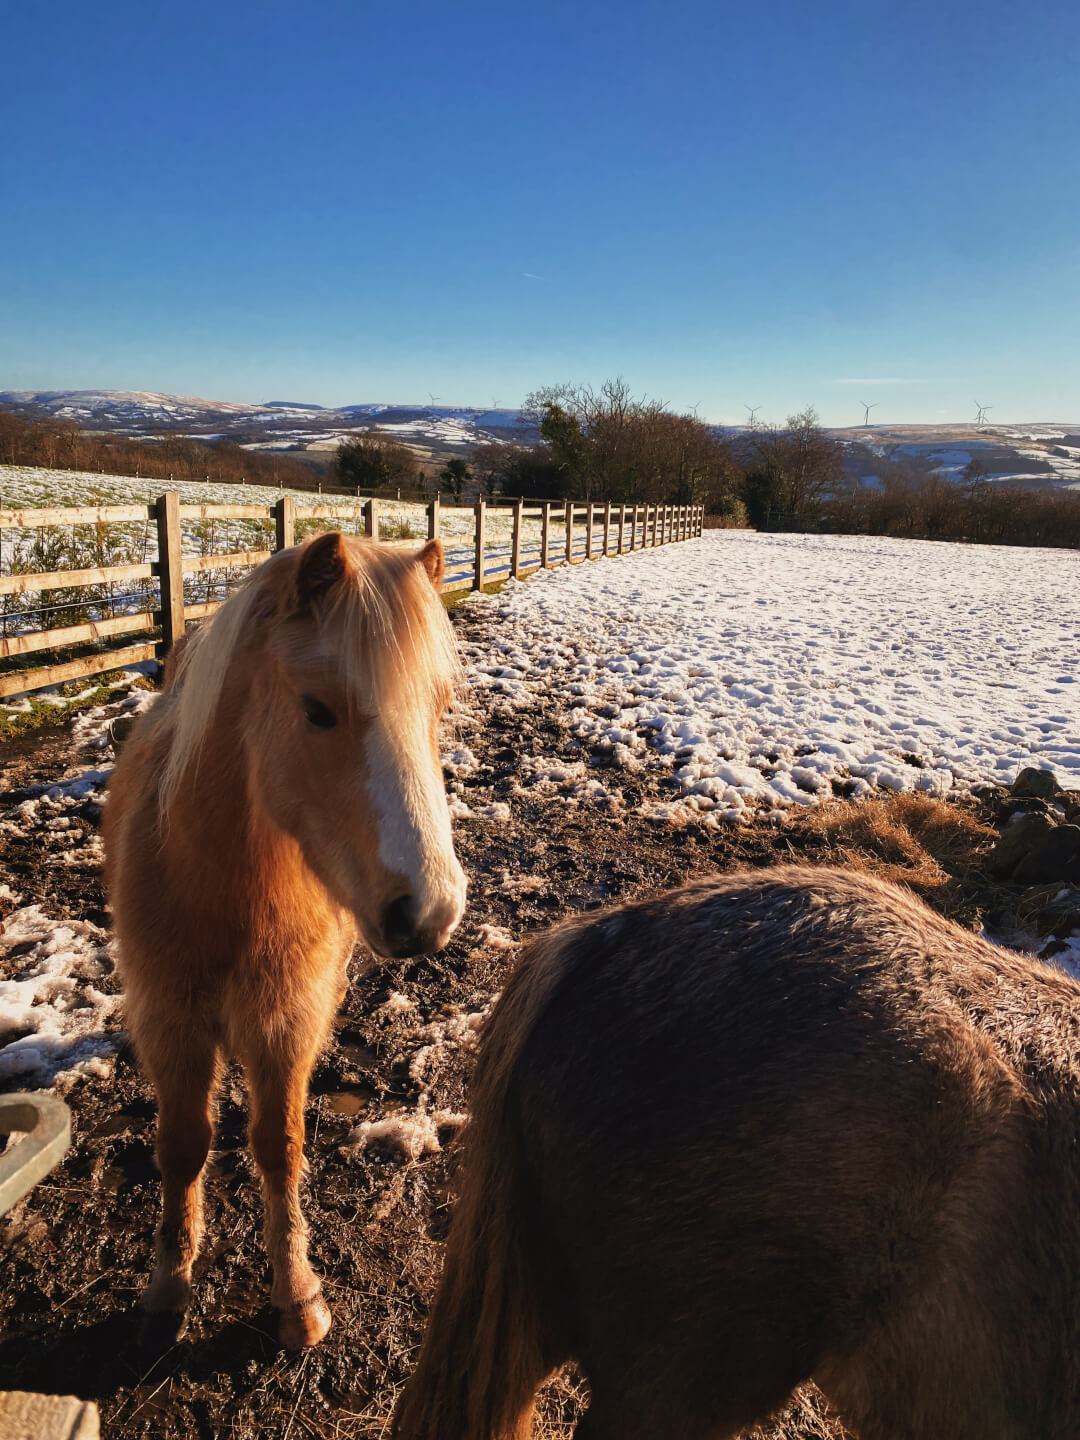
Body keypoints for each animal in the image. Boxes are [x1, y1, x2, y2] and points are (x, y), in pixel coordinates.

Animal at [102, 529, 469, 1347]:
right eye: (318, 710)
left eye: (438, 707)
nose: (430, 912)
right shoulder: (171, 1019)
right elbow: (183, 1143)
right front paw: (168, 1282)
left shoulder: (285, 1020)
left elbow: (279, 1144)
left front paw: (297, 1294)